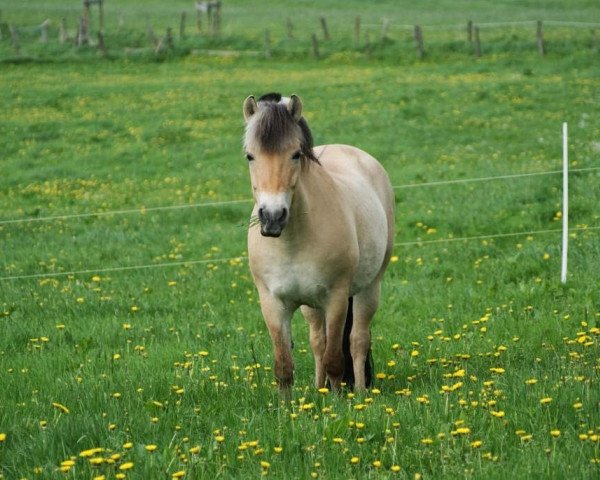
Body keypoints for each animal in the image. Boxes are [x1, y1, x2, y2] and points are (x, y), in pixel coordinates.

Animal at [241, 92, 396, 392]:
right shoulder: (272, 303)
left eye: (295, 154)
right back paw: (318, 388)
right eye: (250, 156)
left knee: (358, 340)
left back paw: (361, 391)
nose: (273, 217)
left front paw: (338, 400)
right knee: (317, 342)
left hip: (368, 288)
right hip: (309, 305)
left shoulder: (336, 298)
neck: (292, 241)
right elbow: (284, 367)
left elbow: (335, 360)